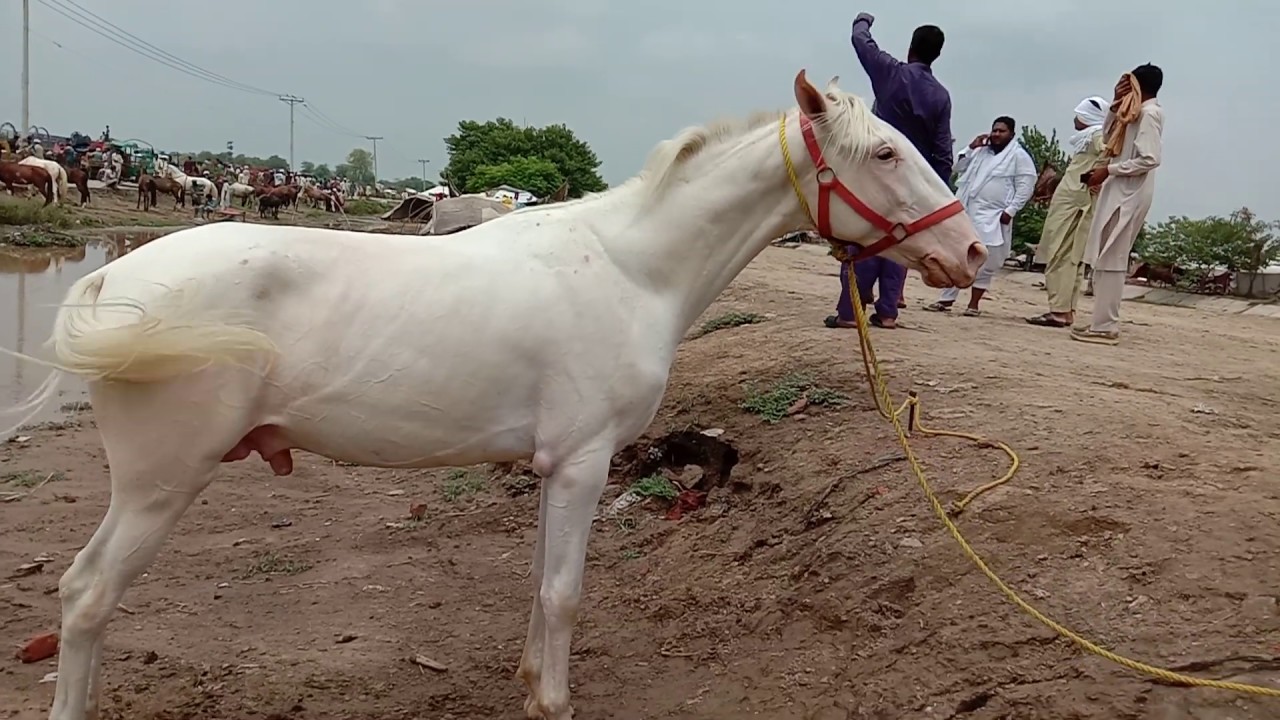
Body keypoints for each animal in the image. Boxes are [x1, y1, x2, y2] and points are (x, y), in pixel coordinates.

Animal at [2, 71, 984, 720]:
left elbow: (542, 587)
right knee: (86, 596)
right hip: (160, 483)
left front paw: (530, 684)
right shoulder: (587, 462)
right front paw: (554, 702)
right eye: (887, 151)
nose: (973, 253)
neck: (631, 269)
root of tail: (115, 277)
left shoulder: (558, 466)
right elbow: (565, 594)